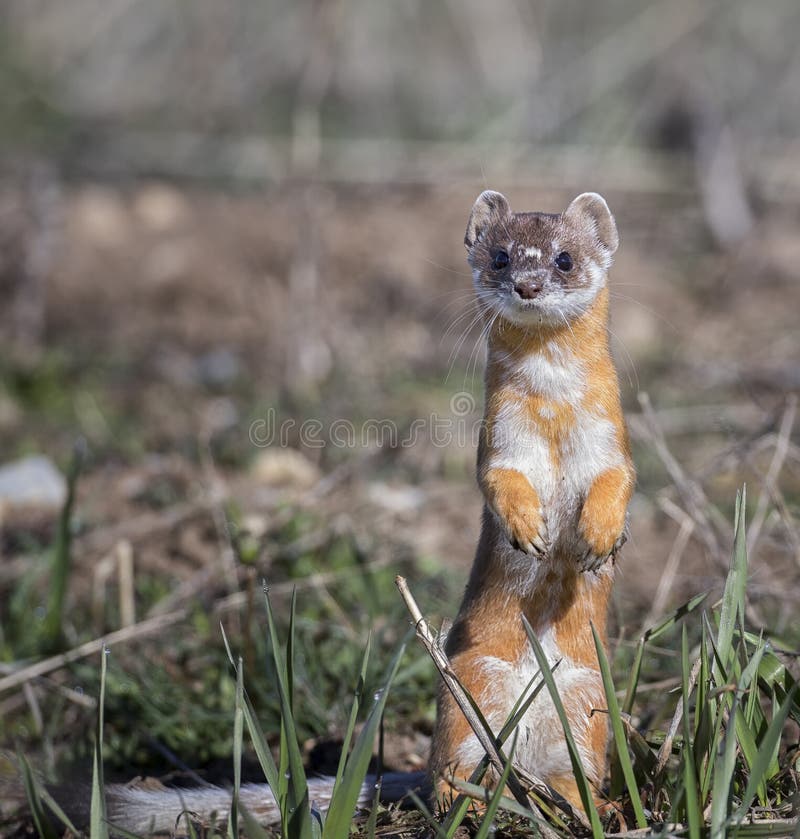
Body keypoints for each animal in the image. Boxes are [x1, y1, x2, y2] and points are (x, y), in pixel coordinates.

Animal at [428, 192, 636, 812]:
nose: (526, 284)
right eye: (499, 256)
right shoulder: (499, 440)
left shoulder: (612, 439)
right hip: (469, 681)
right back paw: (462, 798)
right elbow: (499, 481)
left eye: (564, 258)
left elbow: (619, 480)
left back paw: (586, 801)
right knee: (450, 762)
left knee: (577, 769)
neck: (553, 406)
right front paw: (528, 528)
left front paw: (598, 537)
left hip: (589, 700)